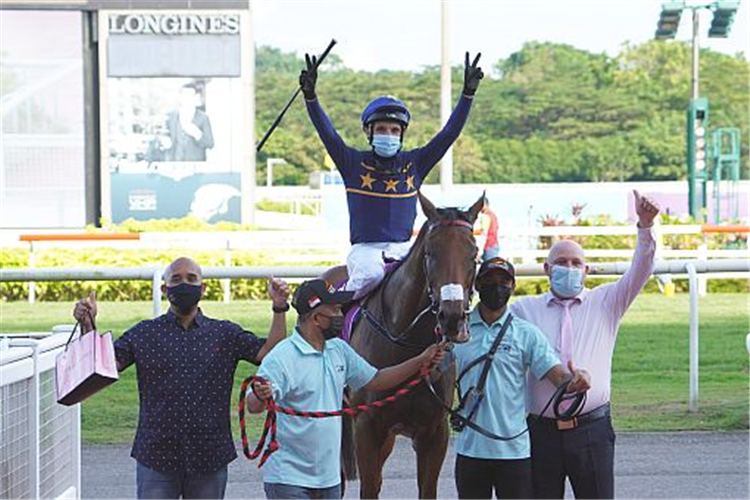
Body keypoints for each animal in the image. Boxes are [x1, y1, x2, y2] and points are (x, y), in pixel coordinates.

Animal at [324, 192, 488, 500]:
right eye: (430, 253)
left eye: (474, 254)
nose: (452, 318)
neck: (408, 343)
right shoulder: (367, 428)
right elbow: (368, 488)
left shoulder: (434, 432)